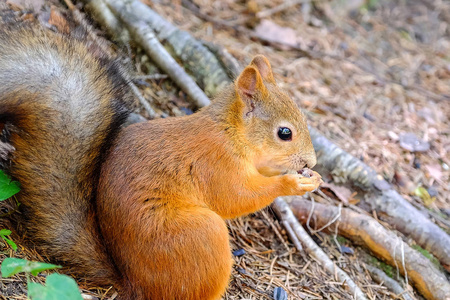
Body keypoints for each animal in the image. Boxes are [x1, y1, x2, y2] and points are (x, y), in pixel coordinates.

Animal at [1, 21, 322, 300]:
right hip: (201, 234)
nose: (312, 162)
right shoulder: (216, 164)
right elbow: (236, 198)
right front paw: (291, 183)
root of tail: (133, 283)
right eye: (284, 133)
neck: (231, 133)